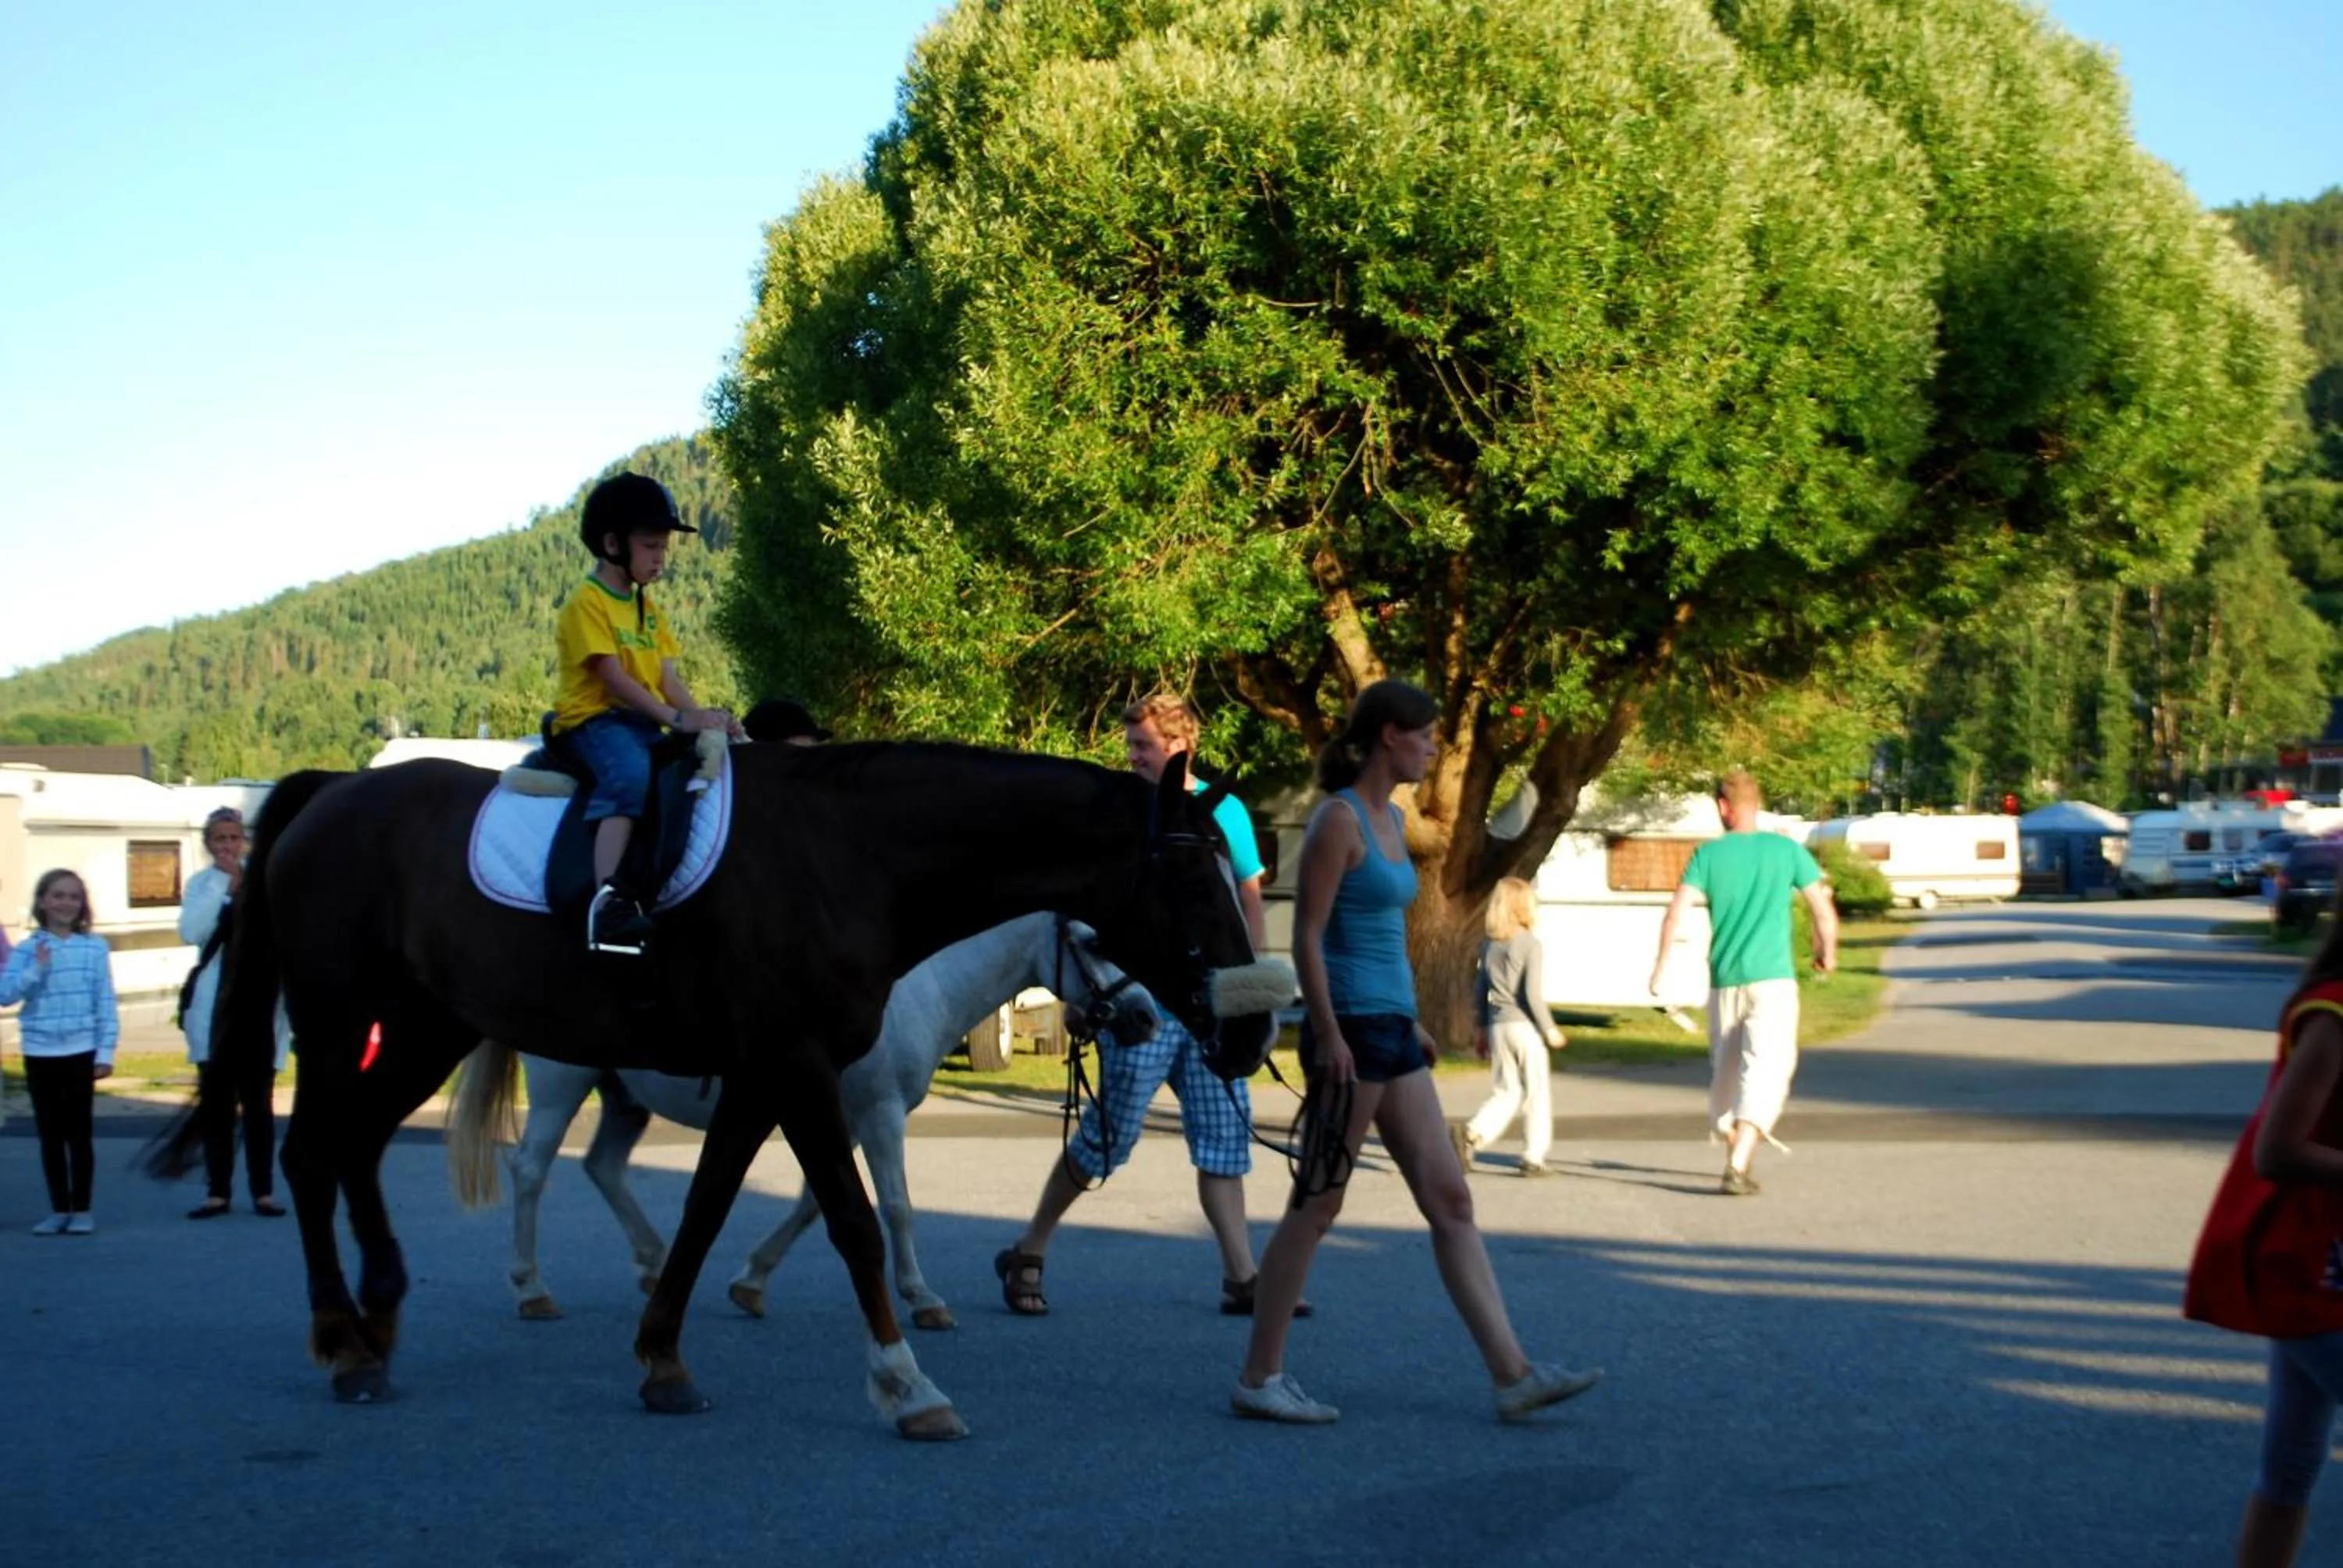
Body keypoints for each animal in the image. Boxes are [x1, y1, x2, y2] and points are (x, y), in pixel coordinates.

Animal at [459, 911, 1156, 1330]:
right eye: (1095, 941)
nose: (1146, 1017)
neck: (912, 986)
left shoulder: (842, 1119)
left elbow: (812, 1206)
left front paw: (750, 1282)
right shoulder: (880, 1116)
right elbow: (896, 1206)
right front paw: (923, 1299)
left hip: (623, 1096)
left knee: (604, 1167)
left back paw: (654, 1264)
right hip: (562, 1087)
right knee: (531, 1171)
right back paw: (532, 1289)